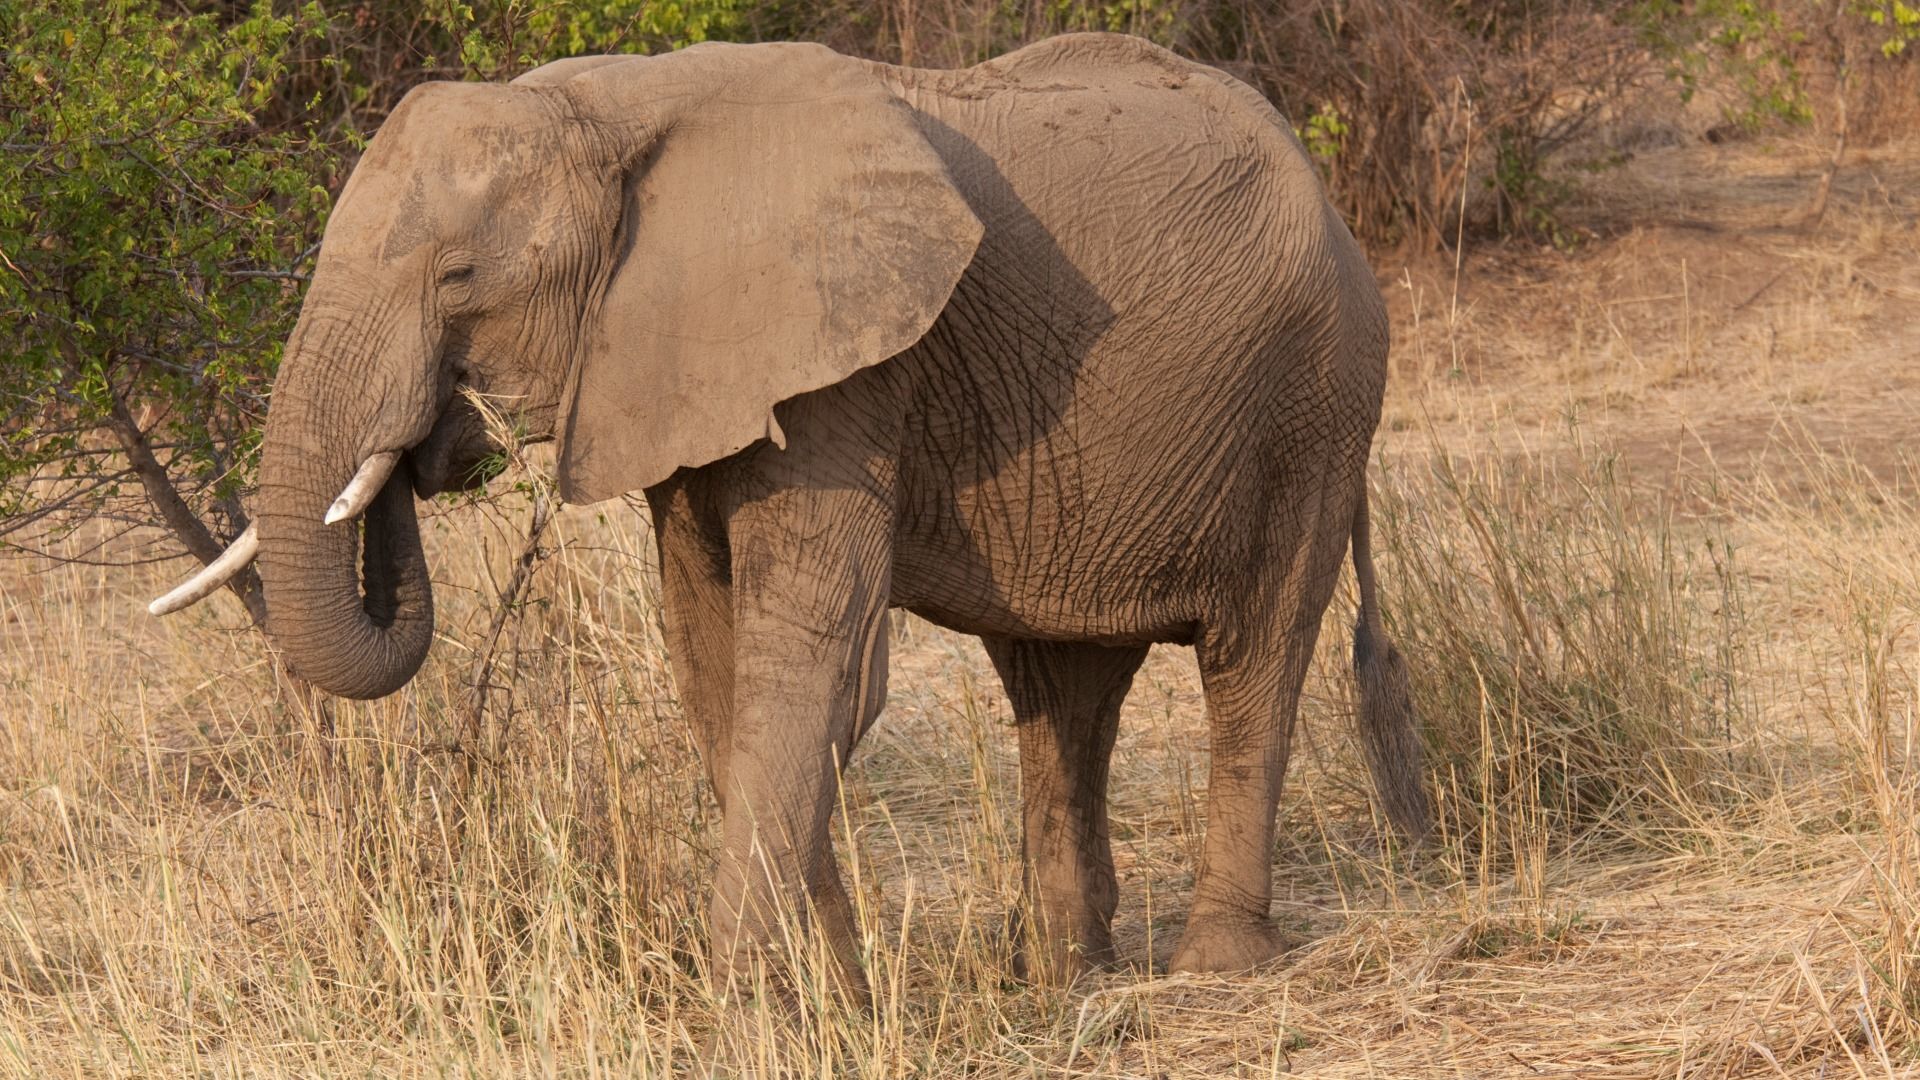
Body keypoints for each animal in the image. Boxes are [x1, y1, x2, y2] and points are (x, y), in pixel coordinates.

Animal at [153, 31, 1428, 991]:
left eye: (459, 279)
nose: (428, 438)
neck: (602, 107)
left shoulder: (846, 368)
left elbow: (812, 657)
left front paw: (751, 1004)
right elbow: (712, 657)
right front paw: (831, 987)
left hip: (1316, 398)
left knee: (1255, 651)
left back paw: (1215, 965)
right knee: (1060, 686)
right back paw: (1062, 970)